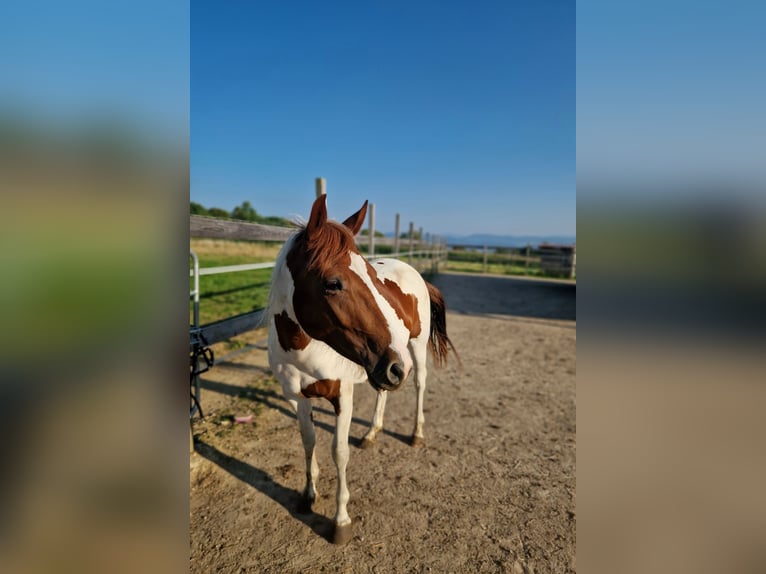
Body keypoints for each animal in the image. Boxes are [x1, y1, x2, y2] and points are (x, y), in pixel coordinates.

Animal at [266, 194, 457, 544]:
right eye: (333, 283)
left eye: (370, 275)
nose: (396, 366)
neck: (303, 350)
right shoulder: (297, 398)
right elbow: (309, 441)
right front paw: (308, 494)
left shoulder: (343, 396)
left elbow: (339, 452)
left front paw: (340, 521)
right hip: (383, 366)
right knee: (384, 391)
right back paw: (371, 433)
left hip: (412, 350)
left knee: (420, 384)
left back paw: (416, 434)